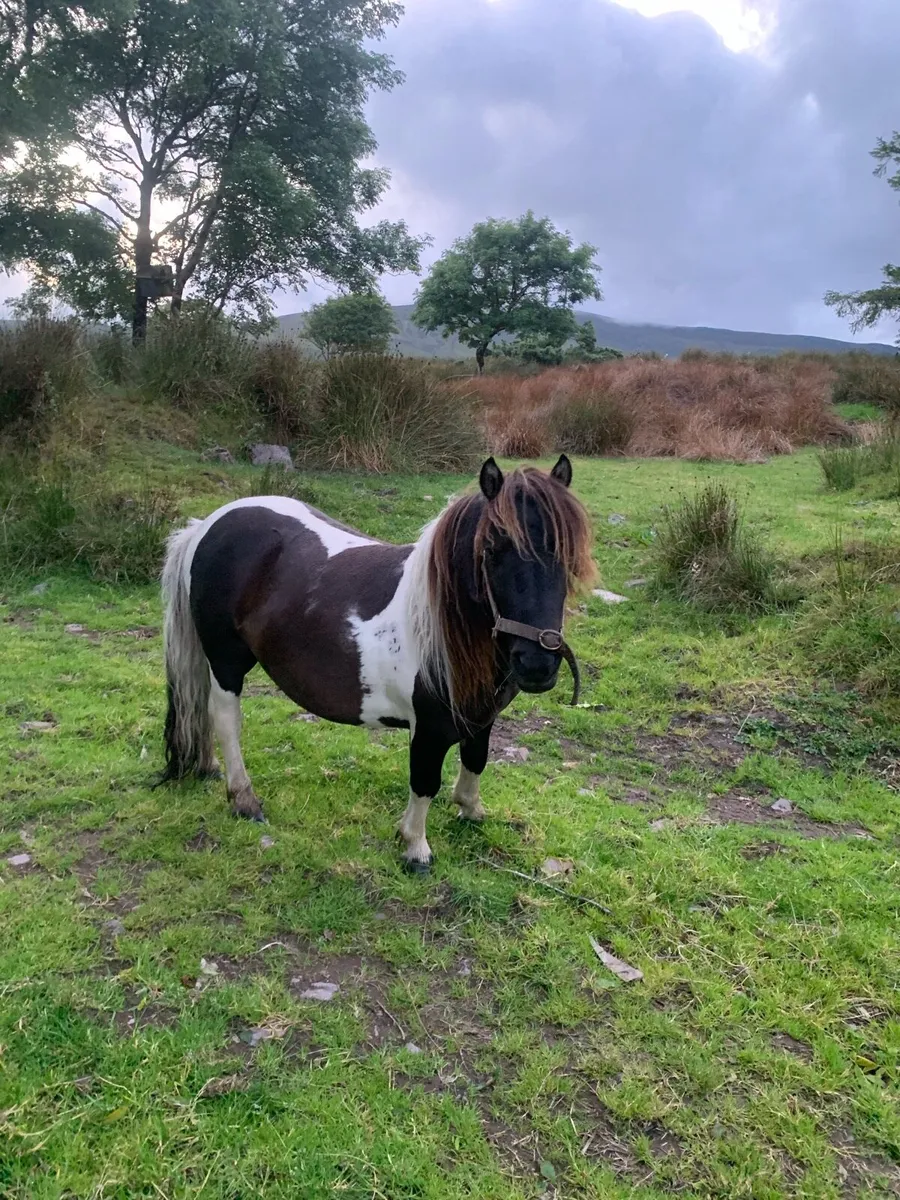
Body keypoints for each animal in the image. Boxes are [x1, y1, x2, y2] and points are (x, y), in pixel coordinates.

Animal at [159, 455, 596, 871]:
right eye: (491, 551)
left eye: (568, 556)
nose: (537, 666)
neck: (439, 624)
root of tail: (207, 525)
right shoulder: (429, 728)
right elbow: (424, 781)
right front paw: (415, 848)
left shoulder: (481, 715)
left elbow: (476, 759)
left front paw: (471, 811)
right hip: (226, 660)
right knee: (225, 718)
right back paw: (244, 799)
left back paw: (209, 769)